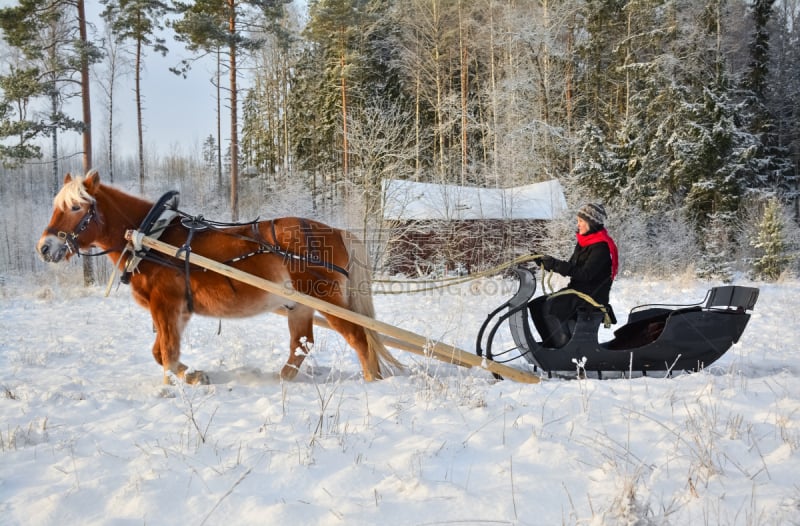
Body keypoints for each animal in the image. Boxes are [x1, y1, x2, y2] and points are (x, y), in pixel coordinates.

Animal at [36, 171, 400, 386]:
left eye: (76, 207)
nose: (45, 247)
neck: (150, 236)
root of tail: (337, 231)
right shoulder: (178, 310)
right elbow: (161, 353)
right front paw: (194, 376)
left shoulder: (165, 305)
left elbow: (168, 354)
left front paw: (179, 385)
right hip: (298, 306)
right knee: (302, 344)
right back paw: (282, 378)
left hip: (326, 298)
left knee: (358, 337)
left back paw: (372, 380)